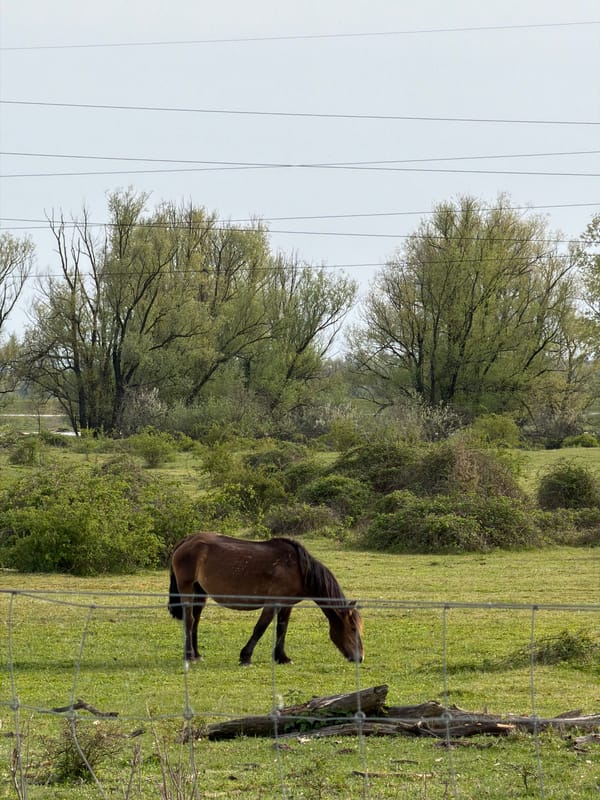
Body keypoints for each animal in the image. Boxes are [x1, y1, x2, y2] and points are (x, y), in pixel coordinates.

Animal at [168, 531, 364, 665]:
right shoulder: (272, 603)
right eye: (353, 628)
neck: (298, 569)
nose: (360, 657)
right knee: (189, 619)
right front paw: (245, 657)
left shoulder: (287, 605)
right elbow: (260, 628)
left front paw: (282, 657)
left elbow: (282, 629)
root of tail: (187, 541)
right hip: (187, 589)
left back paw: (197, 654)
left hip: (200, 592)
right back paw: (189, 655)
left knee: (196, 620)